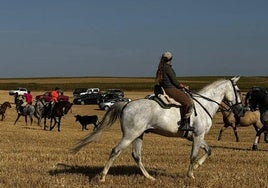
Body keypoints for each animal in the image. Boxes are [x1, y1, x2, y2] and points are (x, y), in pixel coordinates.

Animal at [71, 76, 243, 181]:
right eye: (238, 90)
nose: (240, 110)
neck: (204, 105)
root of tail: (126, 104)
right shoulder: (197, 135)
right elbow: (193, 155)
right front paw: (191, 174)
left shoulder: (195, 137)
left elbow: (209, 150)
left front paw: (196, 167)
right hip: (130, 135)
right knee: (116, 151)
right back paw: (102, 177)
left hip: (138, 135)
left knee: (136, 155)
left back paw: (149, 177)